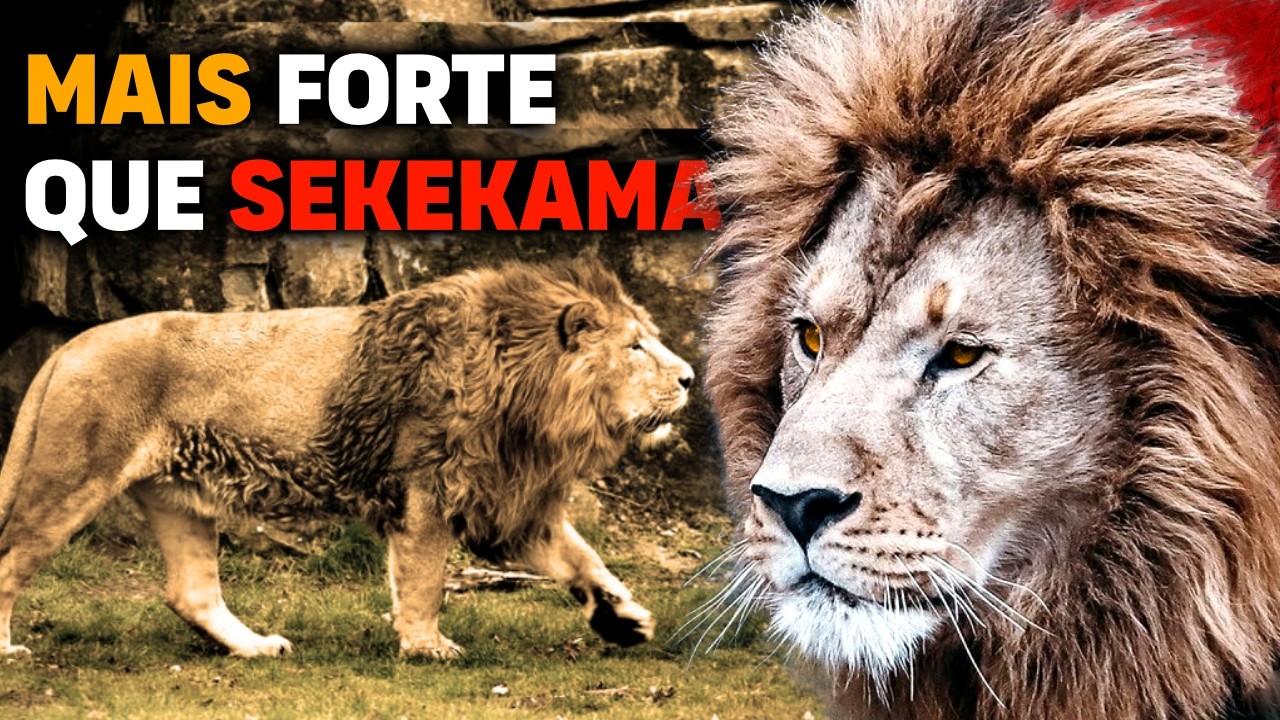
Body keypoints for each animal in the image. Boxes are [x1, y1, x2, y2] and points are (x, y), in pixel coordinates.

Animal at [0, 258, 693, 659]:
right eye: (636, 347)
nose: (689, 378)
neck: (533, 399)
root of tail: (70, 346)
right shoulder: (426, 490)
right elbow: (423, 579)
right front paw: (426, 646)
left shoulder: (506, 499)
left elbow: (582, 558)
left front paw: (623, 620)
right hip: (71, 477)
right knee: (11, 560)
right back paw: (8, 651)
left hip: (179, 498)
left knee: (190, 593)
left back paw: (257, 648)